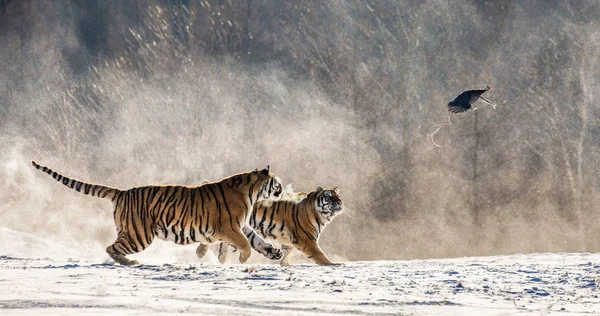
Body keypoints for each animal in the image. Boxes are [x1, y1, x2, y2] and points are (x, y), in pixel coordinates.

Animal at [31, 160, 284, 266]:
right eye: (277, 182)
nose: (281, 188)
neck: (251, 192)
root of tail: (122, 192)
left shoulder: (238, 225)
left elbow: (256, 240)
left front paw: (274, 252)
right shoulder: (229, 227)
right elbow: (245, 244)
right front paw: (241, 259)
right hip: (139, 235)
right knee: (110, 248)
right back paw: (130, 263)